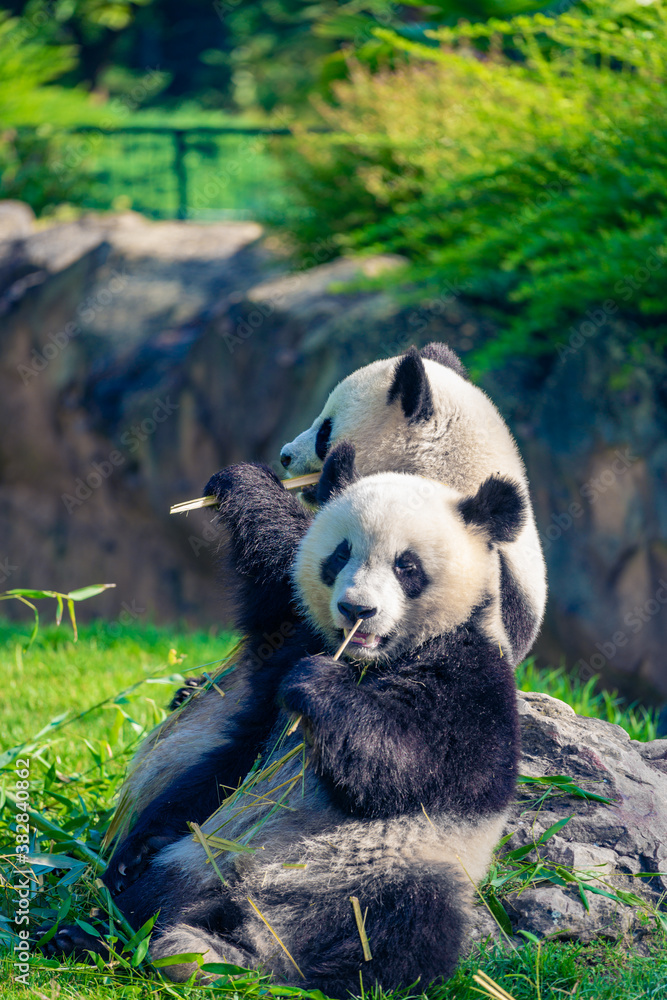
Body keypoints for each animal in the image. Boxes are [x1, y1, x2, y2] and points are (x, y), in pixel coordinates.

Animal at [44, 443, 522, 996]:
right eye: (339, 555)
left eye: (407, 566)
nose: (357, 609)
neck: (366, 662)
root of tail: (262, 931)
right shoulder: (289, 658)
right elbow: (230, 763)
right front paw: (131, 852)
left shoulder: (475, 680)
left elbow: (408, 763)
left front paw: (318, 685)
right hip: (201, 860)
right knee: (153, 901)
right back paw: (103, 940)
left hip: (392, 871)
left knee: (405, 930)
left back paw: (320, 977)